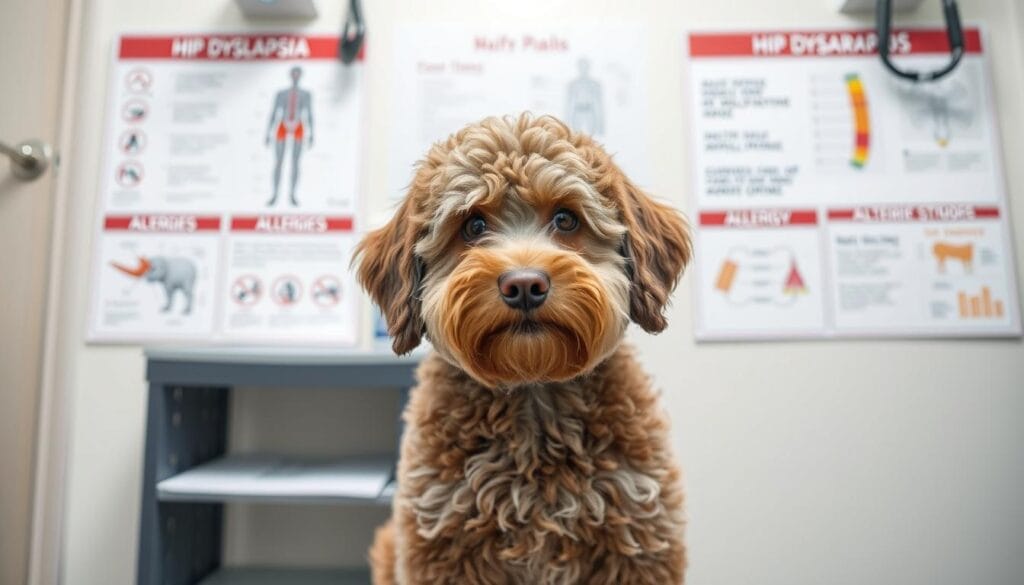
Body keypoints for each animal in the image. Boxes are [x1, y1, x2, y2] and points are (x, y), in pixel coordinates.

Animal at [356, 112, 692, 581]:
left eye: (566, 219)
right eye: (473, 225)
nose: (524, 285)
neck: (533, 393)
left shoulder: (639, 539)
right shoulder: (440, 542)